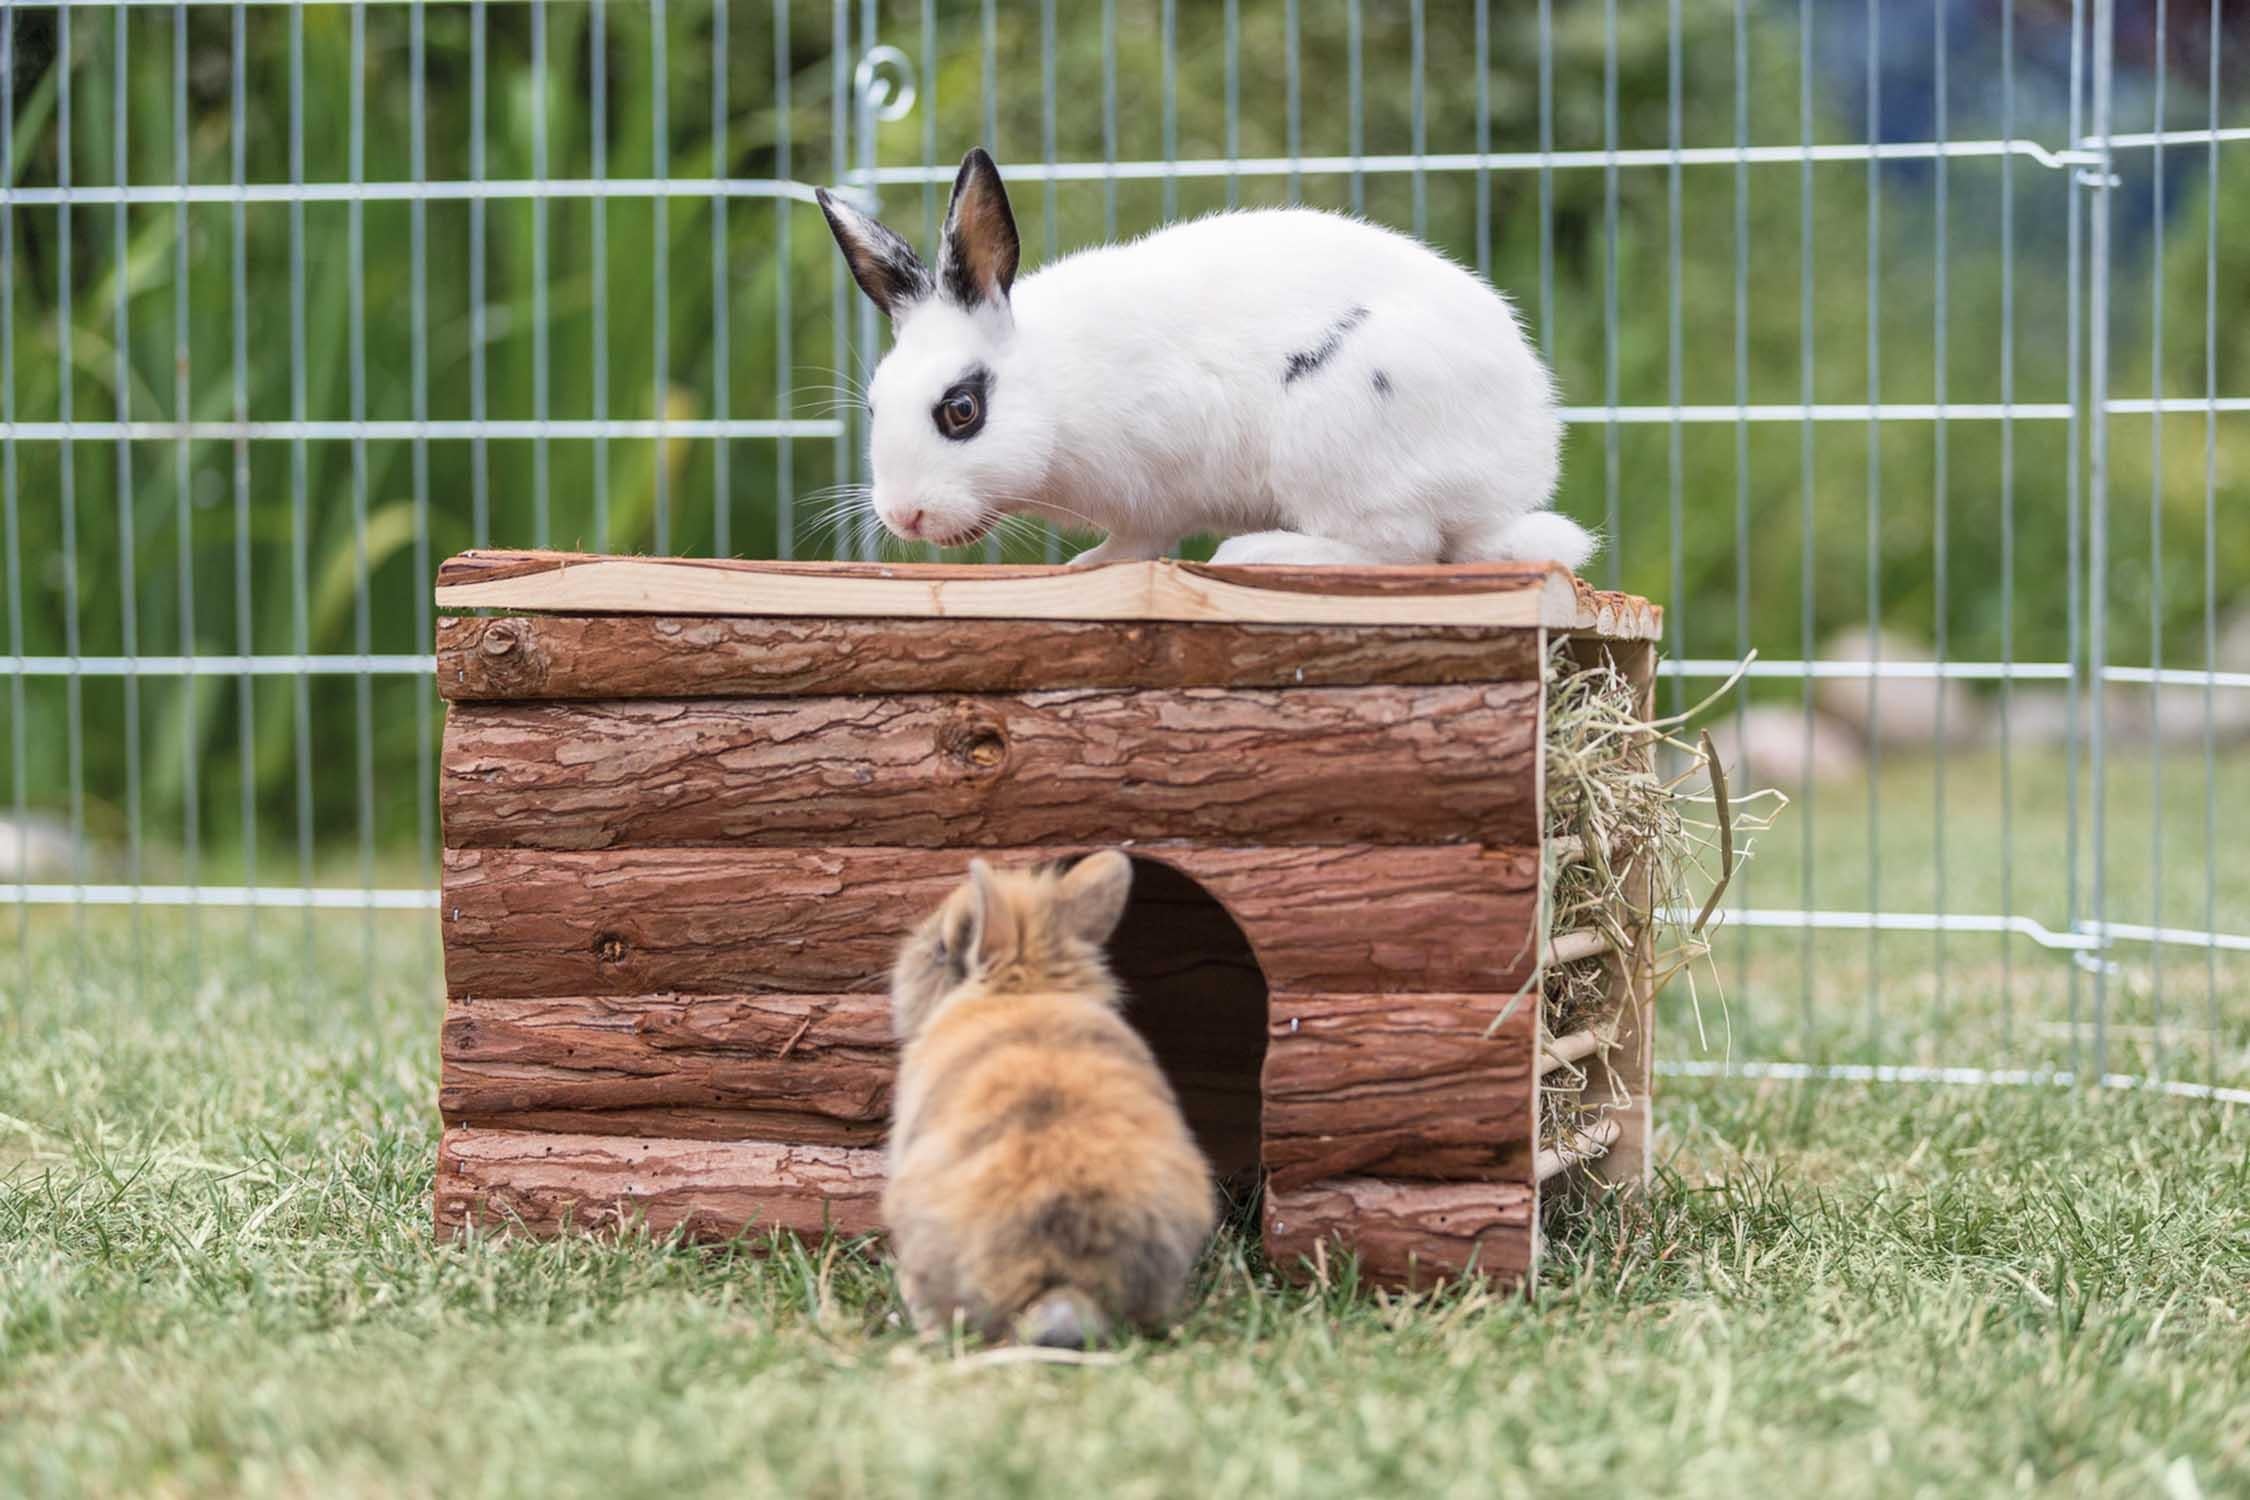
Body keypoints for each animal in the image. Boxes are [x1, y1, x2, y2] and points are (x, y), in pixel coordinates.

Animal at [819, 148, 1593, 568]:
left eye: (961, 410)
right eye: (873, 407)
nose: (904, 516)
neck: (1056, 392)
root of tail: (1514, 475)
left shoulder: (1156, 489)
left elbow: (1138, 542)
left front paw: (1092, 563)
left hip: (1337, 443)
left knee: (1401, 548)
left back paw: (1262, 554)